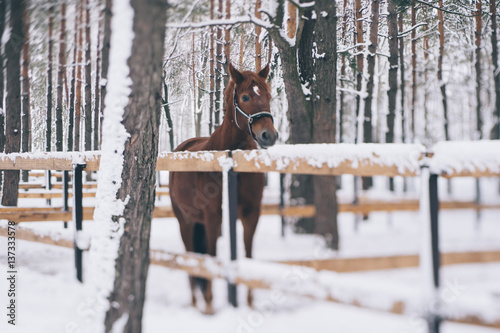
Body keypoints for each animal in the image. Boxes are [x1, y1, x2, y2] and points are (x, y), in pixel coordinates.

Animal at [168, 63, 278, 314]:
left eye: (268, 96)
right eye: (245, 97)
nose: (269, 135)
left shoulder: (251, 215)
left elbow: (247, 255)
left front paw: (249, 304)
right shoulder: (212, 218)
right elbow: (211, 256)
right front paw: (209, 304)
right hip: (185, 221)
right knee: (191, 254)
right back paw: (196, 302)